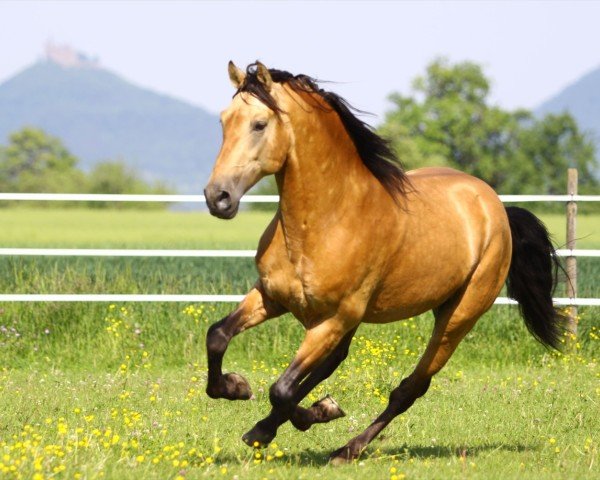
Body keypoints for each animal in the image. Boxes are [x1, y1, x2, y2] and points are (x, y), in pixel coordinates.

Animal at [202, 62, 564, 464]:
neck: (326, 220)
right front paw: (237, 388)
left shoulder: (333, 318)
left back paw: (347, 447)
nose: (217, 197)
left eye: (259, 124)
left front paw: (297, 418)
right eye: (224, 121)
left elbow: (281, 389)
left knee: (410, 388)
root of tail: (496, 205)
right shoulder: (272, 296)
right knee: (332, 363)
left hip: (457, 317)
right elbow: (218, 336)